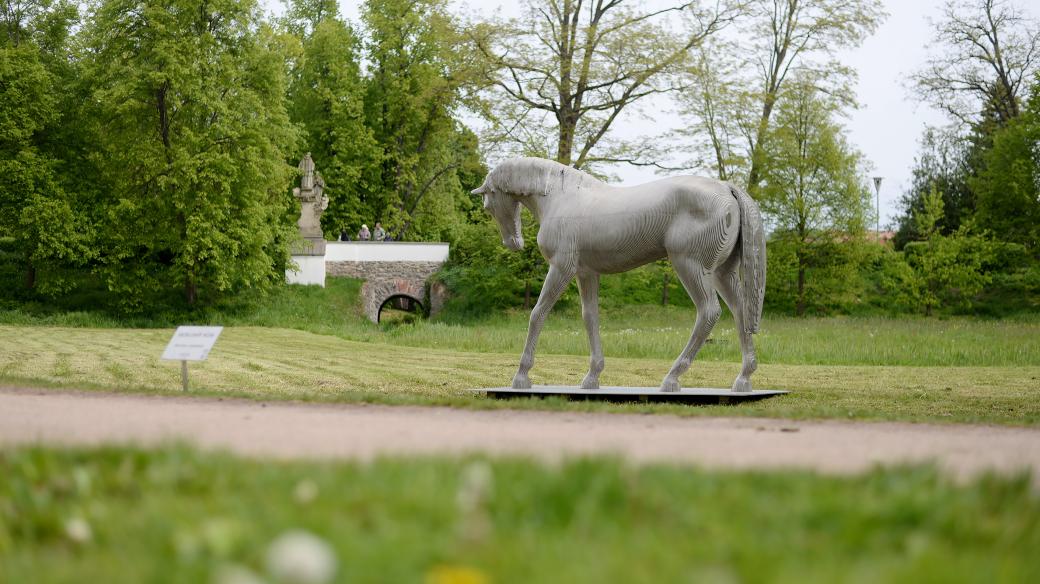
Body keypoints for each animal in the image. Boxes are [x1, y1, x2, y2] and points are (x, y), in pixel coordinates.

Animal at [472, 154, 765, 390]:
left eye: (488, 205)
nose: (513, 243)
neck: (560, 196)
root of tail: (726, 188)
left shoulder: (562, 268)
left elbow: (538, 313)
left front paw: (521, 376)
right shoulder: (586, 273)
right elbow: (590, 318)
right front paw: (592, 377)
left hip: (691, 267)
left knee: (708, 313)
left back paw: (672, 378)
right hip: (721, 273)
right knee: (740, 312)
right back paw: (743, 379)